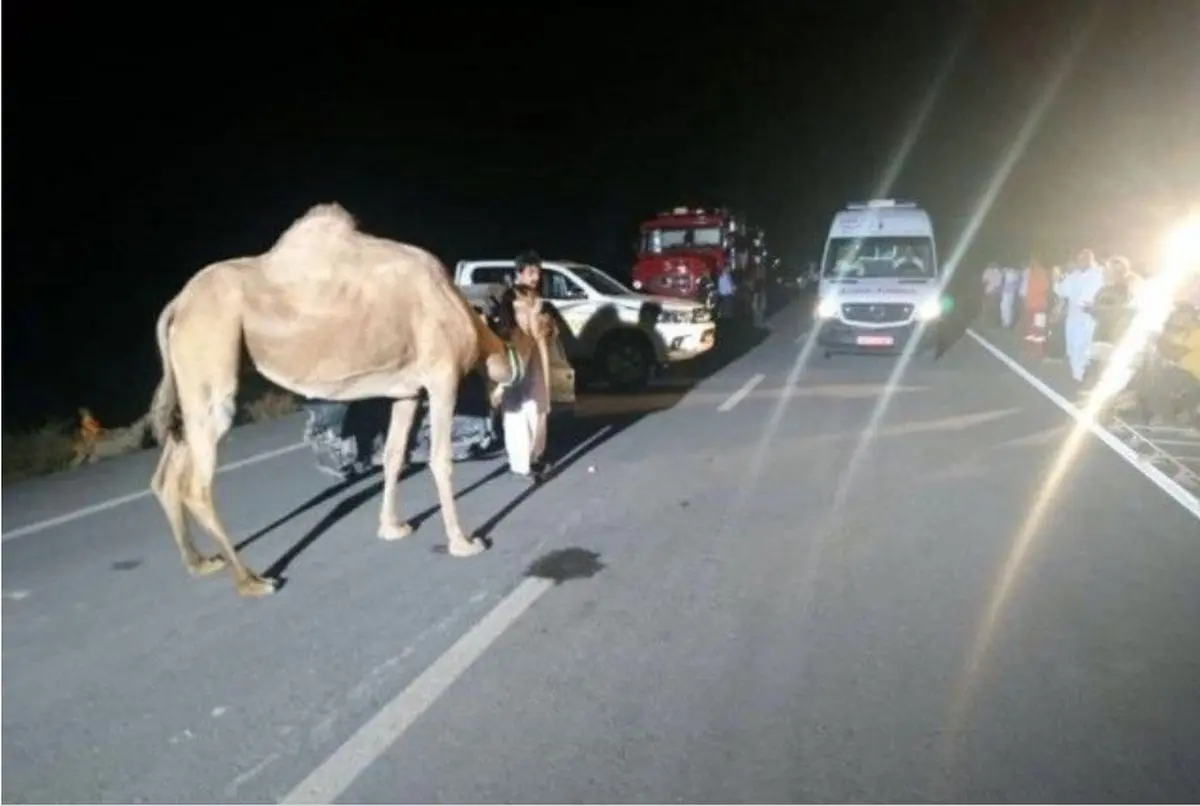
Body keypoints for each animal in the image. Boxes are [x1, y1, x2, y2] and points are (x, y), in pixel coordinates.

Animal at [146, 205, 552, 594]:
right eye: (535, 303)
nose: (549, 321)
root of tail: (177, 305)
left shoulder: (407, 390)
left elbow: (393, 455)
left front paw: (392, 527)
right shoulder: (442, 377)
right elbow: (440, 459)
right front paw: (463, 542)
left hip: (192, 380)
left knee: (168, 471)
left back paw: (201, 563)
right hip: (213, 352)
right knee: (196, 484)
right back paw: (253, 581)